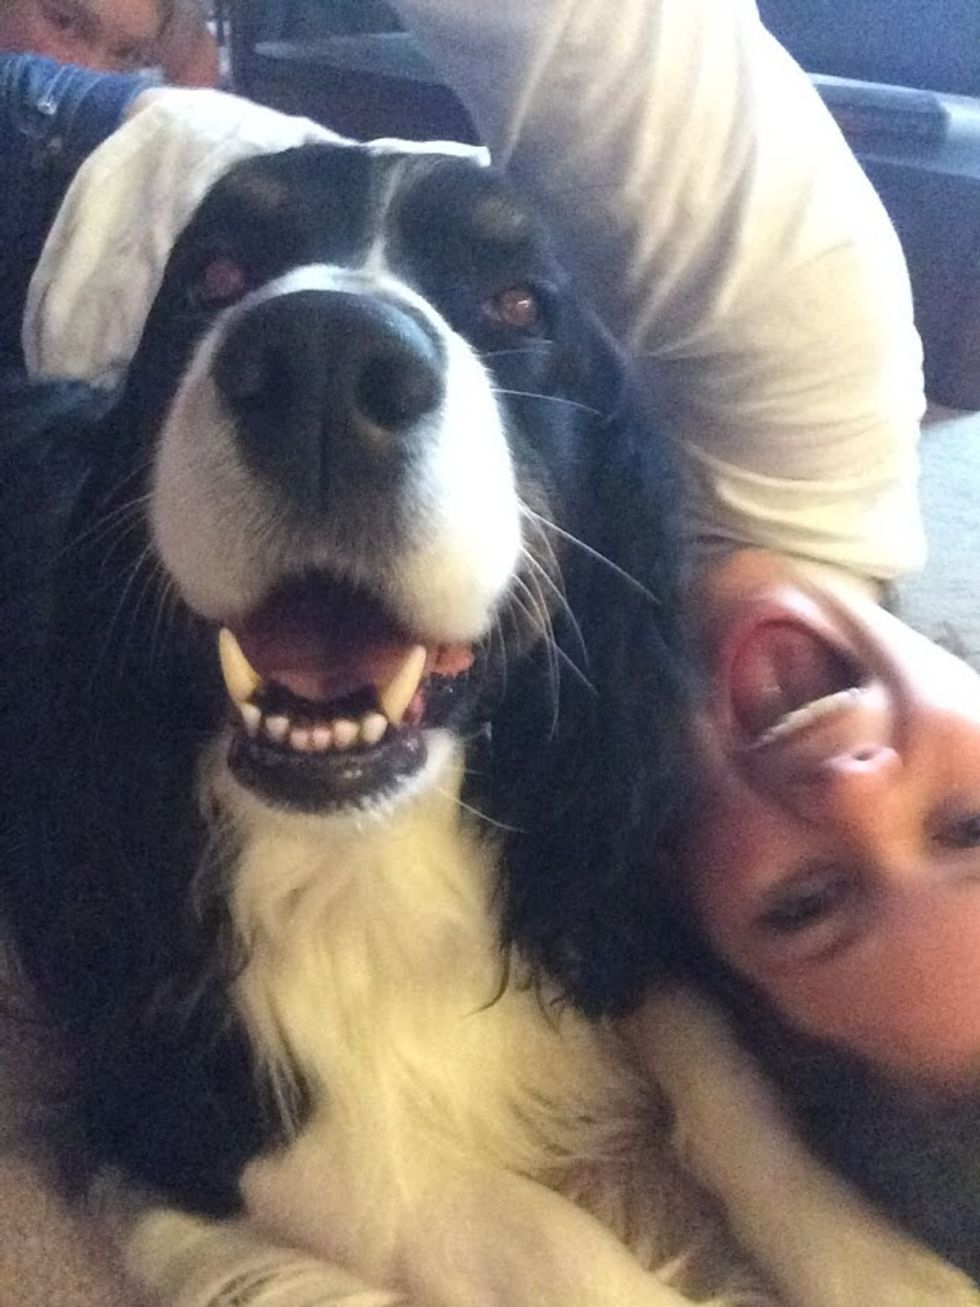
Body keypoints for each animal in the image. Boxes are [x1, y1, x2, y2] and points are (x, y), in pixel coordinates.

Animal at [1, 140, 975, 1307]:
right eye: (217, 273)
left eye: (519, 302)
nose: (322, 359)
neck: (379, 829)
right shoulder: (171, 1076)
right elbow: (535, 1234)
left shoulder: (588, 871)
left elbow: (730, 1081)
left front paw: (884, 1261)